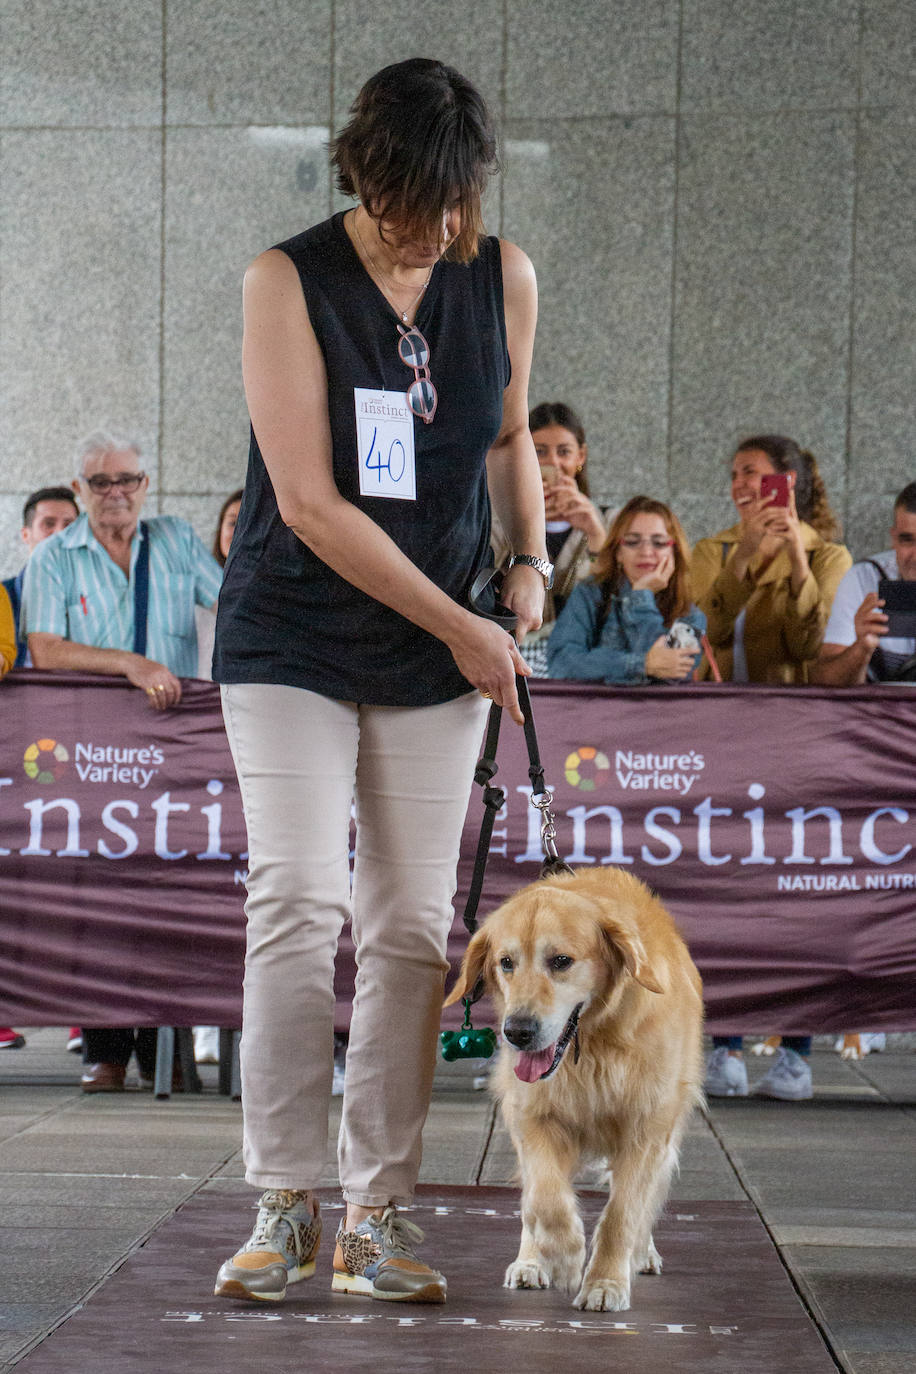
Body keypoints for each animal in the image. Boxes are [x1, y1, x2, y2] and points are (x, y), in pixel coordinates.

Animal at [444, 868, 703, 1308]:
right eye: (506, 963)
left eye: (561, 961)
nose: (517, 1032)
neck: (595, 1042)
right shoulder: (533, 1116)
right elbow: (545, 1198)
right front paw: (562, 1256)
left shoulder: (648, 1130)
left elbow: (623, 1214)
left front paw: (605, 1282)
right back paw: (531, 1260)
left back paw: (641, 1253)